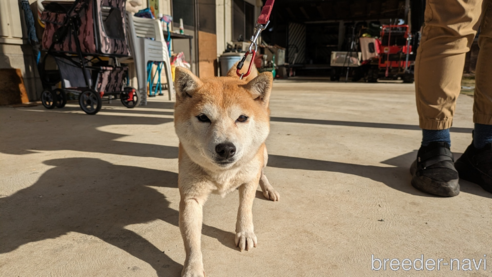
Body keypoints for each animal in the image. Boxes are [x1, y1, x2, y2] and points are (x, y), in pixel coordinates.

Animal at [175, 63, 278, 274]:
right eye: (203, 117)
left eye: (242, 118)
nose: (225, 149)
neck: (223, 174)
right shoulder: (190, 198)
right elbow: (191, 240)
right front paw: (193, 267)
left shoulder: (249, 180)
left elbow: (245, 208)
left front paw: (245, 232)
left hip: (262, 154)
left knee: (261, 172)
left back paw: (268, 188)